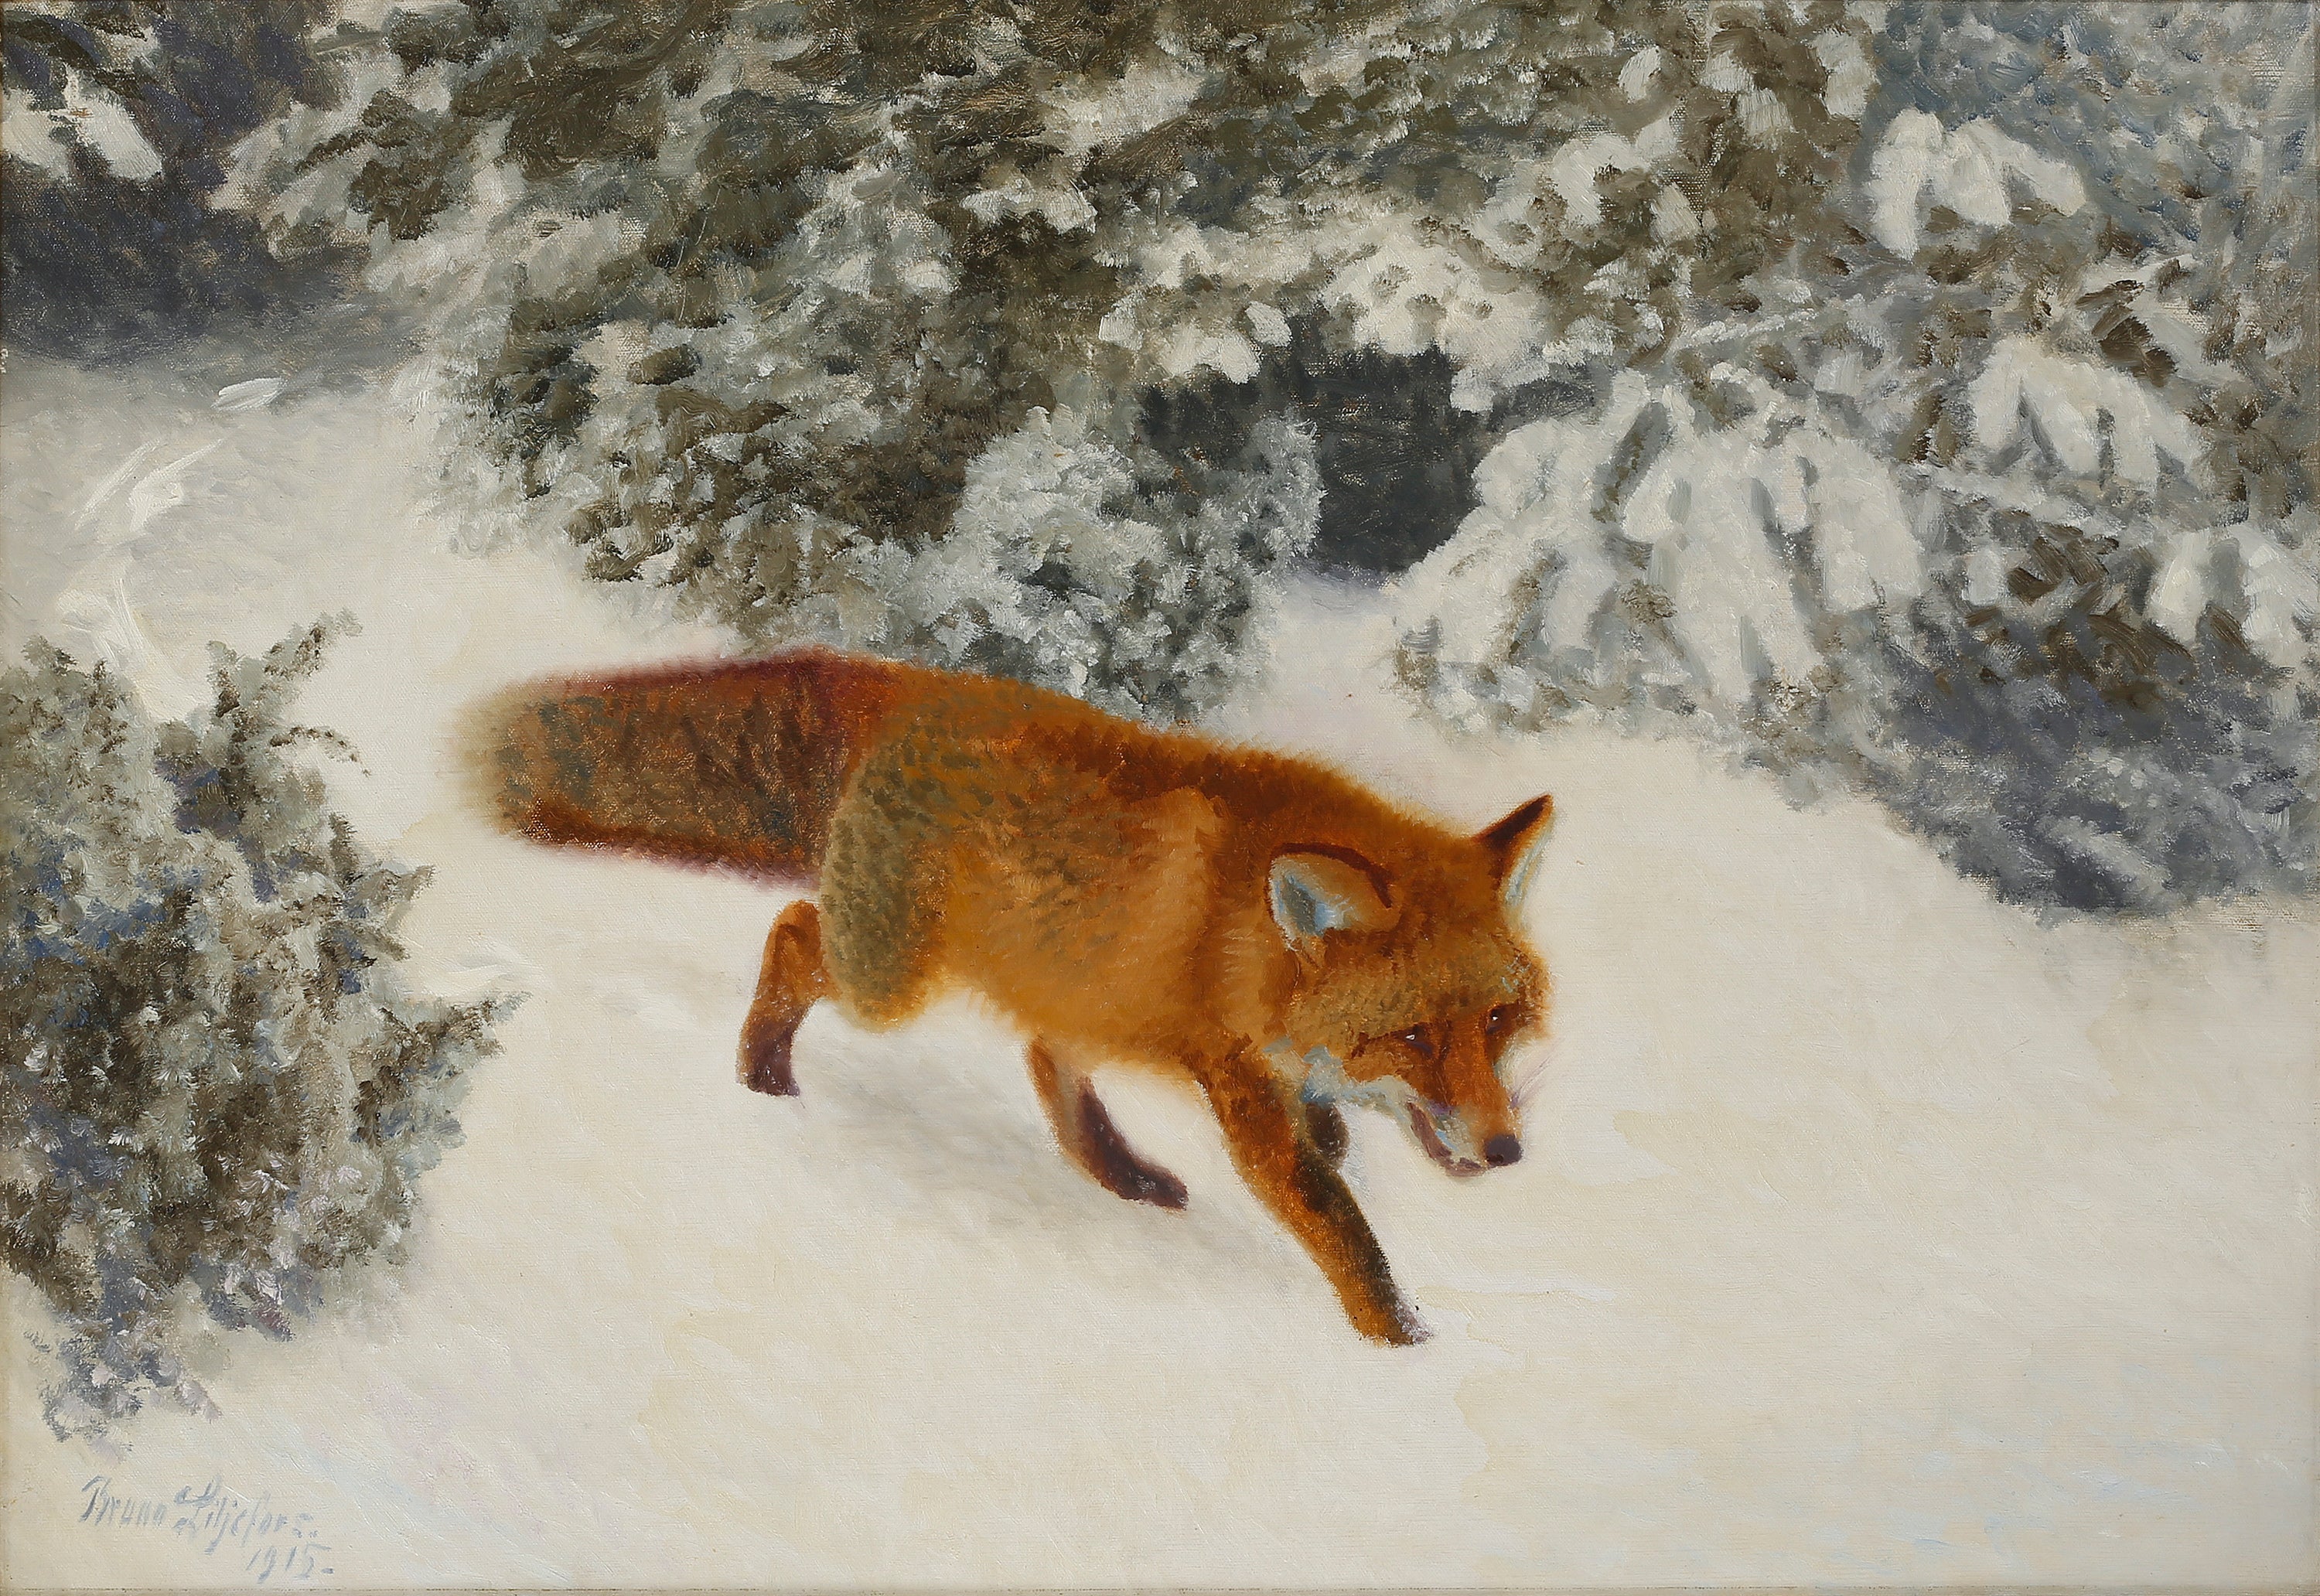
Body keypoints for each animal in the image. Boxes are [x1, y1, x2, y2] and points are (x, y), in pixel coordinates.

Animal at [474, 650, 1554, 1344]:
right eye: (1414, 1035)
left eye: (1497, 1020)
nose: (1506, 1151)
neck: (1255, 944)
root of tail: (919, 686)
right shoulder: (1241, 1086)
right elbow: (1342, 1231)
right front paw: (1404, 1347)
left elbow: (1329, 1141)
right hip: (887, 982)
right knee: (791, 930)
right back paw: (763, 1072)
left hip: (1068, 976)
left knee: (1046, 1059)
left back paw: (1122, 1175)